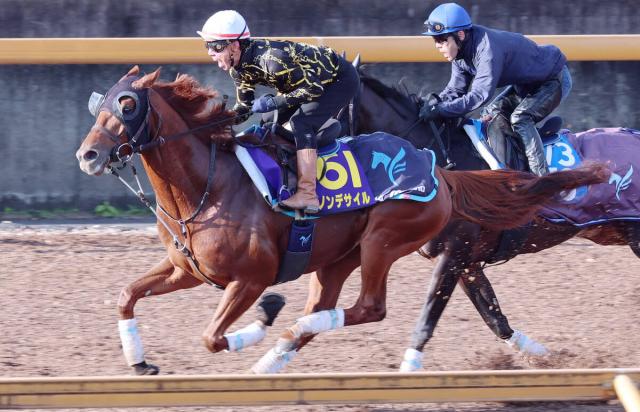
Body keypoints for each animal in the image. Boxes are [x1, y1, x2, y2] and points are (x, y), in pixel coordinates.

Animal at [75, 66, 608, 375]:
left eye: (127, 104)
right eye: (97, 102)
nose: (88, 155)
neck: (207, 187)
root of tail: (437, 169)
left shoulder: (250, 277)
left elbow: (212, 337)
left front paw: (266, 316)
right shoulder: (188, 269)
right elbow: (126, 296)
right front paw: (140, 363)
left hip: (383, 241)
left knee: (368, 307)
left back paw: (283, 333)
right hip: (337, 259)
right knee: (328, 308)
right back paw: (276, 354)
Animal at [354, 70, 640, 371]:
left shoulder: (454, 253)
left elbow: (430, 313)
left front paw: (409, 366)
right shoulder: (466, 261)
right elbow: (492, 314)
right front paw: (541, 354)